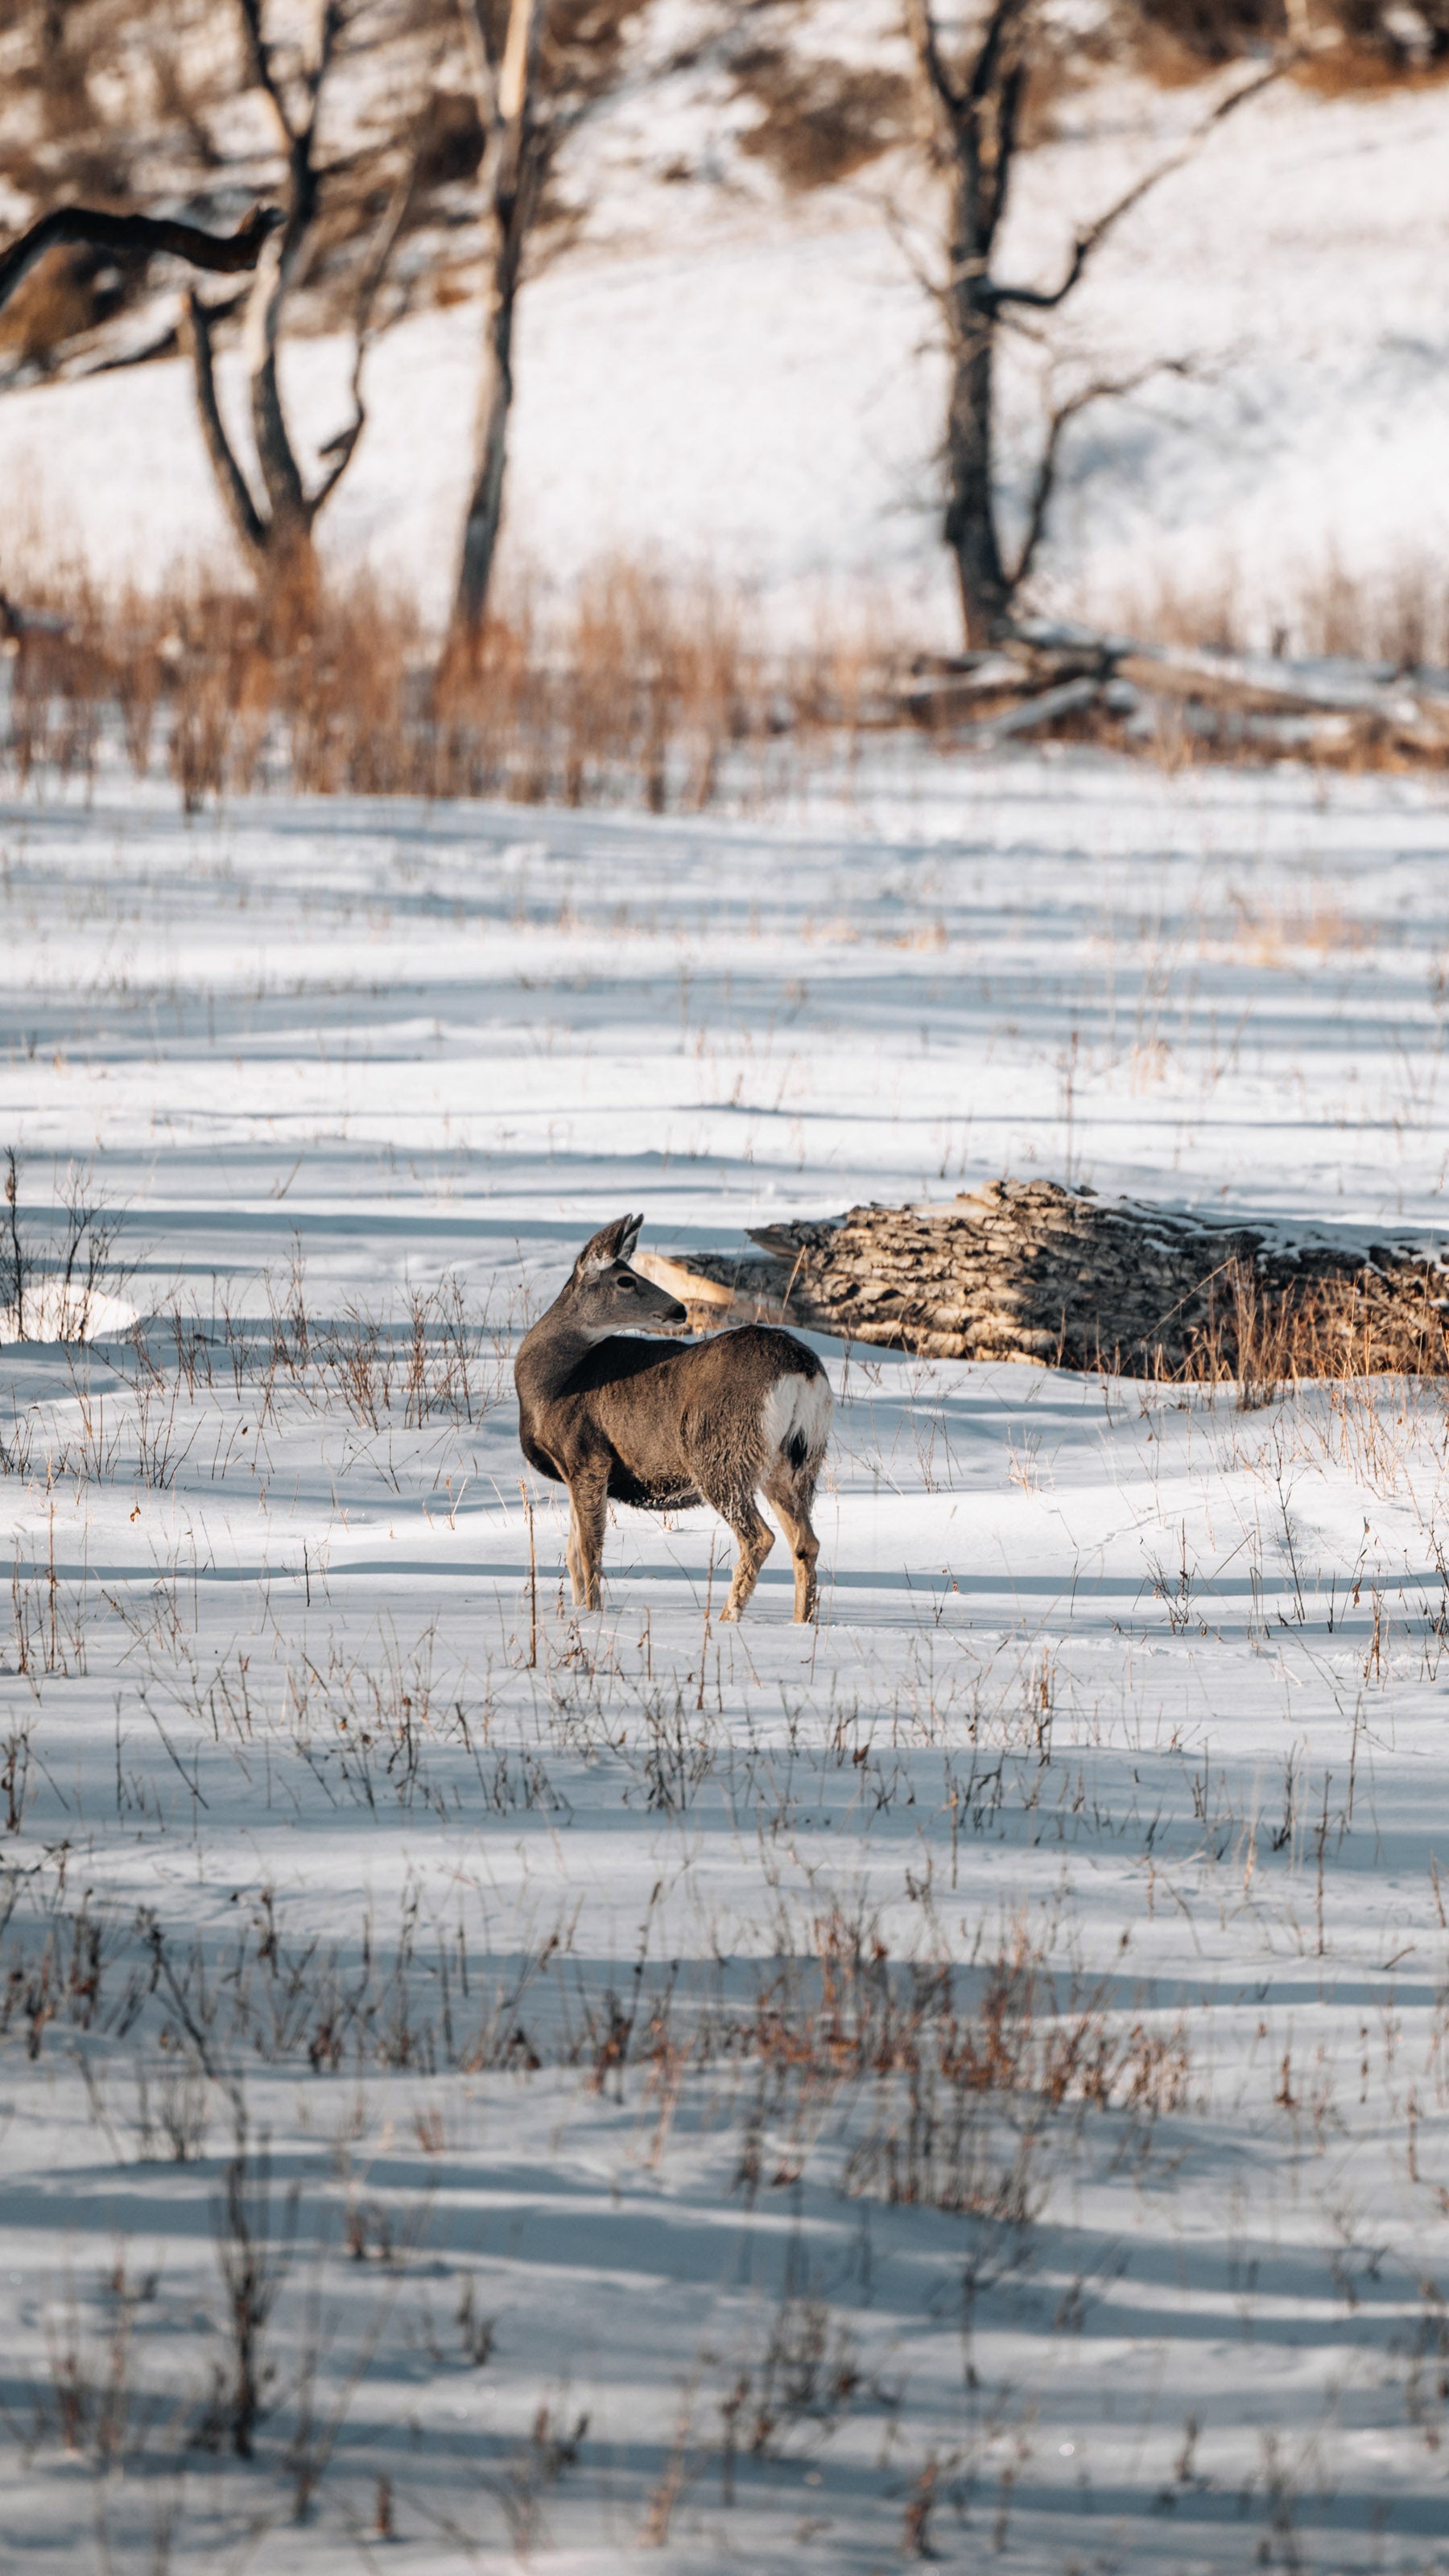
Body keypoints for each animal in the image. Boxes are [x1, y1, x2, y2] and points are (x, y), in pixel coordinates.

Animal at [513, 1216, 830, 1617]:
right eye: (626, 1280)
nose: (680, 1309)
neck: (554, 1383)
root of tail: (802, 1370)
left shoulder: (587, 1455)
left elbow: (588, 1551)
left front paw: (592, 1614)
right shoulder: (572, 1469)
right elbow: (572, 1554)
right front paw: (580, 1610)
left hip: (721, 1453)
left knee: (760, 1538)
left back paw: (727, 1617)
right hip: (795, 1462)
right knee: (806, 1542)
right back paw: (800, 1622)